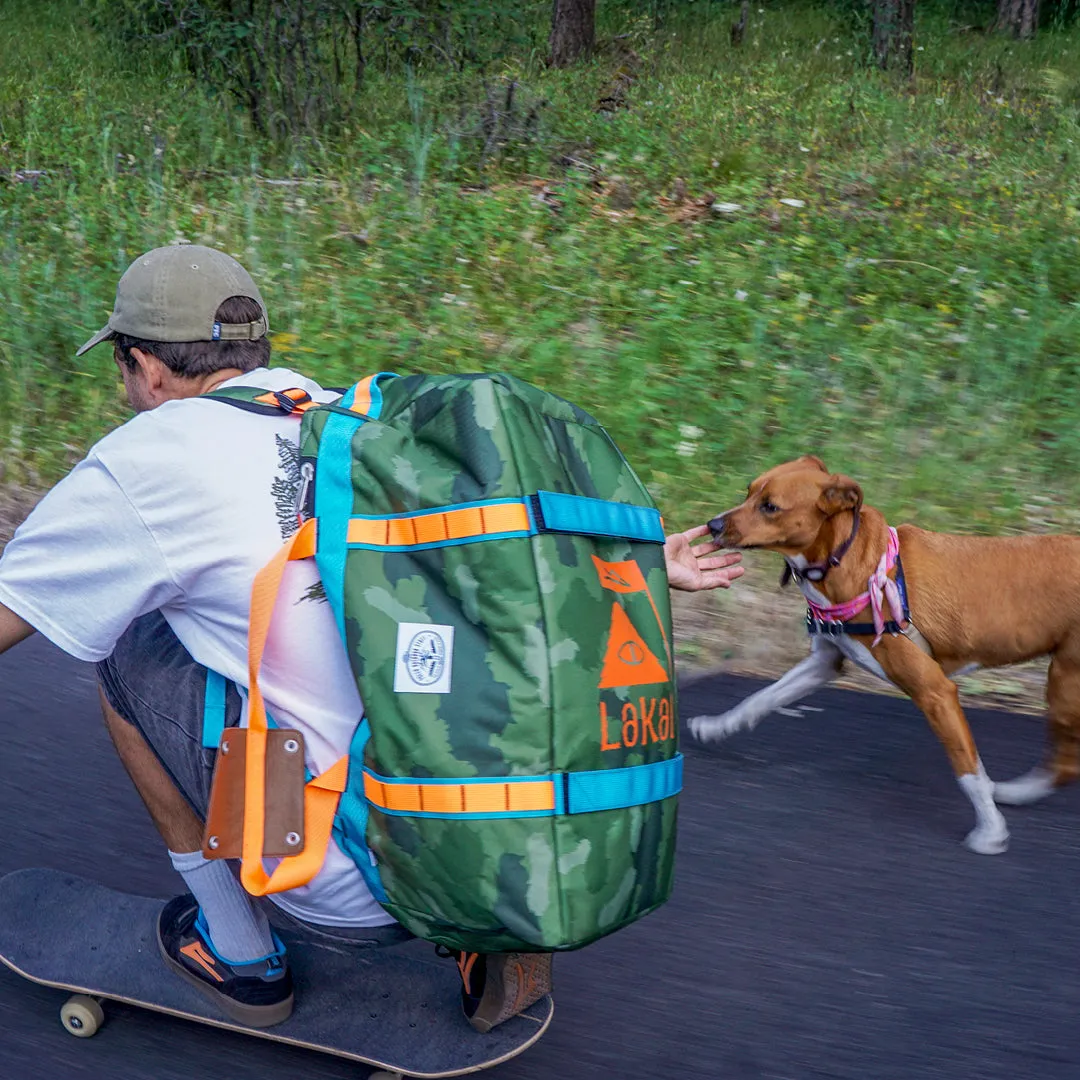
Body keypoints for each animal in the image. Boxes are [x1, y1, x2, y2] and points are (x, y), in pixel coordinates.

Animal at [686, 453, 1080, 851]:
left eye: (770, 507)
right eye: (749, 492)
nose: (713, 525)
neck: (851, 563)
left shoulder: (935, 692)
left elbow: (968, 770)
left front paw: (991, 830)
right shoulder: (824, 662)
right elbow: (761, 698)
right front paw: (718, 725)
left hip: (1064, 685)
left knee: (1066, 762)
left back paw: (1017, 793)